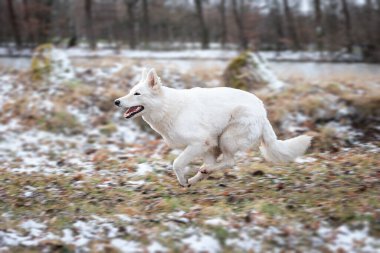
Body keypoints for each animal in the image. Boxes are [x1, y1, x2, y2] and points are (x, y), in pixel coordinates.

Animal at [116, 68, 312, 187]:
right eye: (131, 91)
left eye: (137, 94)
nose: (116, 101)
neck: (168, 107)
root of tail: (262, 111)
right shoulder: (204, 144)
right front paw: (186, 181)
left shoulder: (197, 143)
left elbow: (177, 163)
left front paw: (182, 180)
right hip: (214, 144)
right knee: (214, 164)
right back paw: (197, 177)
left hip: (226, 139)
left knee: (229, 162)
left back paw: (203, 173)